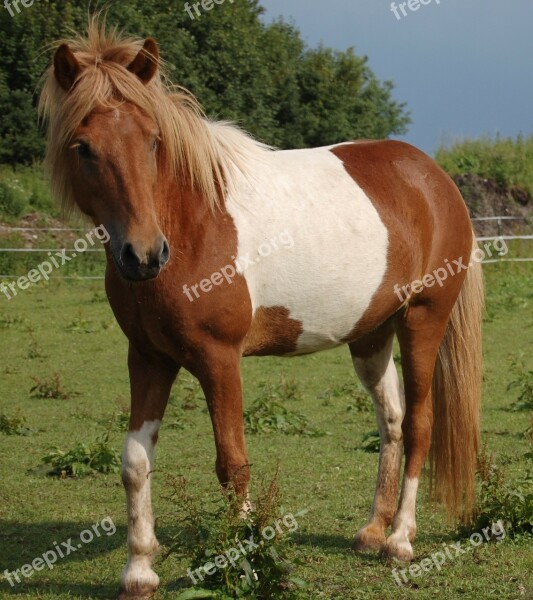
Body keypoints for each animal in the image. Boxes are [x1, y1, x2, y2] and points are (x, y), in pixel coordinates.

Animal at [39, 22, 484, 600]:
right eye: (84, 147)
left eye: (153, 141)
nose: (144, 255)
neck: (191, 222)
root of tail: (436, 178)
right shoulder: (148, 357)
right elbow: (135, 462)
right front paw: (138, 570)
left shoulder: (219, 359)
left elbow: (233, 463)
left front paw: (246, 562)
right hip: (370, 335)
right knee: (392, 420)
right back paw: (372, 530)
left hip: (422, 321)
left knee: (421, 425)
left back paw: (401, 540)